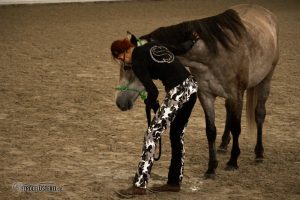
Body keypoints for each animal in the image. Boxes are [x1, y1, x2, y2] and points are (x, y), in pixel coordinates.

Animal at [114, 3, 278, 179]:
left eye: (128, 66)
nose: (119, 102)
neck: (215, 53)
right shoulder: (206, 95)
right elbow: (211, 131)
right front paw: (211, 168)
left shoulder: (236, 95)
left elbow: (236, 128)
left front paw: (233, 161)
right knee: (228, 113)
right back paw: (223, 145)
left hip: (265, 80)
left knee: (259, 114)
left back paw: (259, 153)